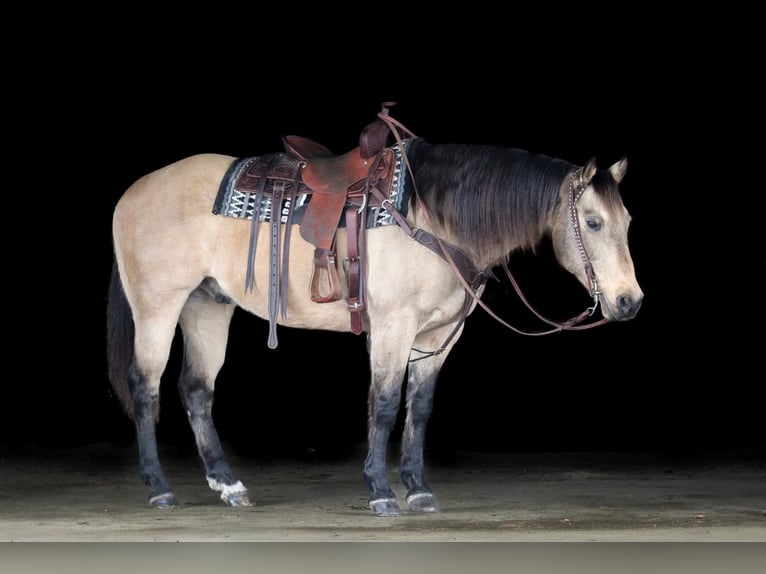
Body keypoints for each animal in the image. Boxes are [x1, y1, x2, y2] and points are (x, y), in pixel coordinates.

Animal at [106, 104, 643, 516]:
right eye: (592, 222)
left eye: (627, 221)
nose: (629, 300)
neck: (435, 218)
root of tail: (134, 190)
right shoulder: (392, 327)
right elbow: (383, 403)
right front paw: (381, 491)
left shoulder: (437, 337)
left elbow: (419, 408)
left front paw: (419, 490)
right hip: (159, 308)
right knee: (145, 386)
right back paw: (160, 488)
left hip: (208, 306)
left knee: (196, 390)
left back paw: (229, 484)